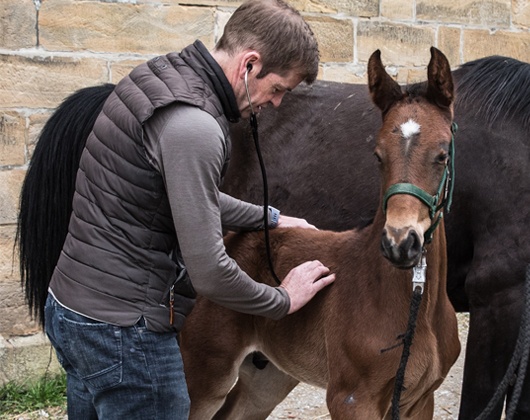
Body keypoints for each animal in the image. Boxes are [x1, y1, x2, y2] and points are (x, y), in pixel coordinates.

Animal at [179, 46, 460, 420]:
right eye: (377, 155)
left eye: (442, 155)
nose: (400, 243)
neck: (416, 307)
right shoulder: (351, 398)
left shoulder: (420, 400)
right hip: (205, 374)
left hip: (268, 376)